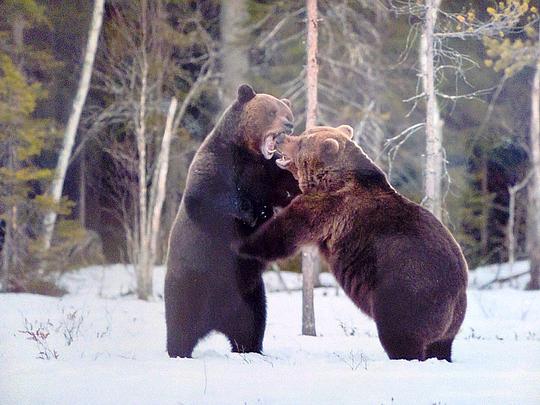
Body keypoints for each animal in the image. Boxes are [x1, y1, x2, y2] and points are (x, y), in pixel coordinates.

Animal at [165, 83, 300, 356]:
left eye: (288, 112)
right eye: (272, 111)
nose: (289, 124)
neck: (251, 155)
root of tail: (214, 322)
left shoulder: (270, 175)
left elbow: (291, 188)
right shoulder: (217, 164)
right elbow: (207, 198)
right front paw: (252, 212)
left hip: (248, 294)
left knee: (252, 323)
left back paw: (250, 348)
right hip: (191, 282)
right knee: (180, 323)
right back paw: (179, 351)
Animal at [237, 124, 468, 362]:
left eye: (301, 141)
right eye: (304, 133)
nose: (281, 137)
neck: (330, 178)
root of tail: (457, 287)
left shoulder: (327, 207)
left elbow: (284, 233)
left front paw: (241, 243)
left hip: (405, 293)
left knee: (400, 337)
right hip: (452, 318)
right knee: (441, 346)